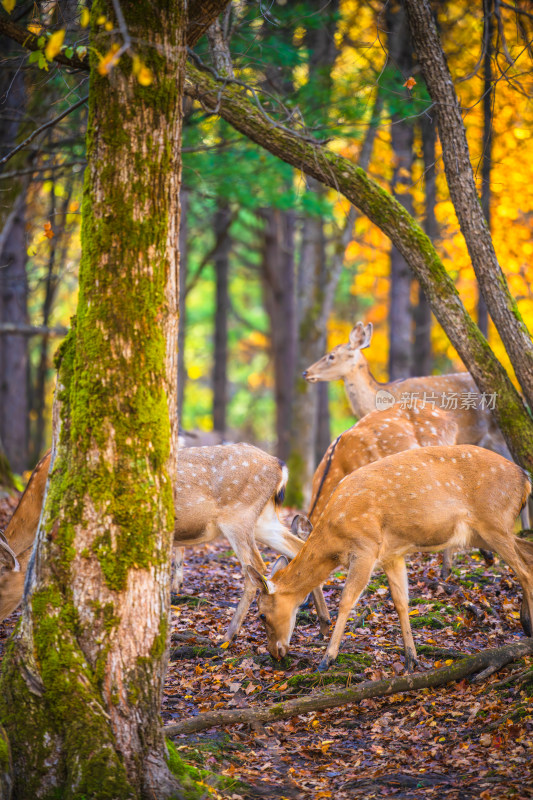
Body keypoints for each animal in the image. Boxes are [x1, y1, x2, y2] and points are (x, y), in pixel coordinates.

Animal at [0, 440, 330, 640]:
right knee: (298, 546)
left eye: (1, 583)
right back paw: (323, 622)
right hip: (264, 519)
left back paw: (228, 635)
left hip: (238, 515)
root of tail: (280, 466)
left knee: (256, 569)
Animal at [249, 446, 532, 672]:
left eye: (261, 615)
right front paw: (411, 659)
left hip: (494, 520)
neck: (334, 540)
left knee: (524, 570)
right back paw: (524, 623)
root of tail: (525, 479)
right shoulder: (392, 555)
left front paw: (327, 660)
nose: (275, 653)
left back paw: (528, 625)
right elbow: (401, 602)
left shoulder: (366, 548)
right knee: (527, 553)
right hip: (484, 532)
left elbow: (346, 601)